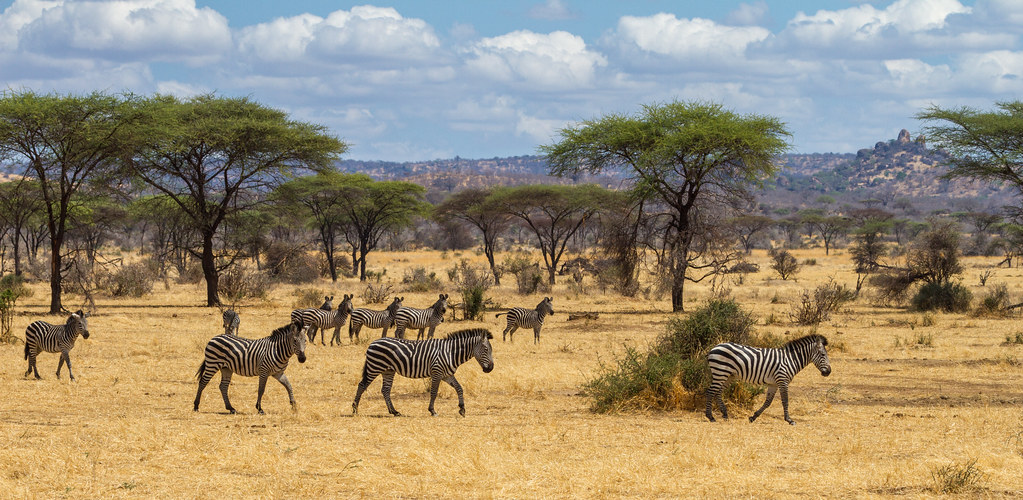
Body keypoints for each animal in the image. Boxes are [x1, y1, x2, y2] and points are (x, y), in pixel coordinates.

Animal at [351, 327, 495, 417]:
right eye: (486, 349)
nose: (491, 368)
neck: (451, 352)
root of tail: (373, 342)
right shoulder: (437, 372)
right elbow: (434, 392)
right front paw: (432, 411)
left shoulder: (447, 375)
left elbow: (459, 388)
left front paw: (462, 409)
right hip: (374, 367)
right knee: (362, 385)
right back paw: (355, 409)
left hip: (388, 371)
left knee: (385, 390)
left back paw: (394, 411)